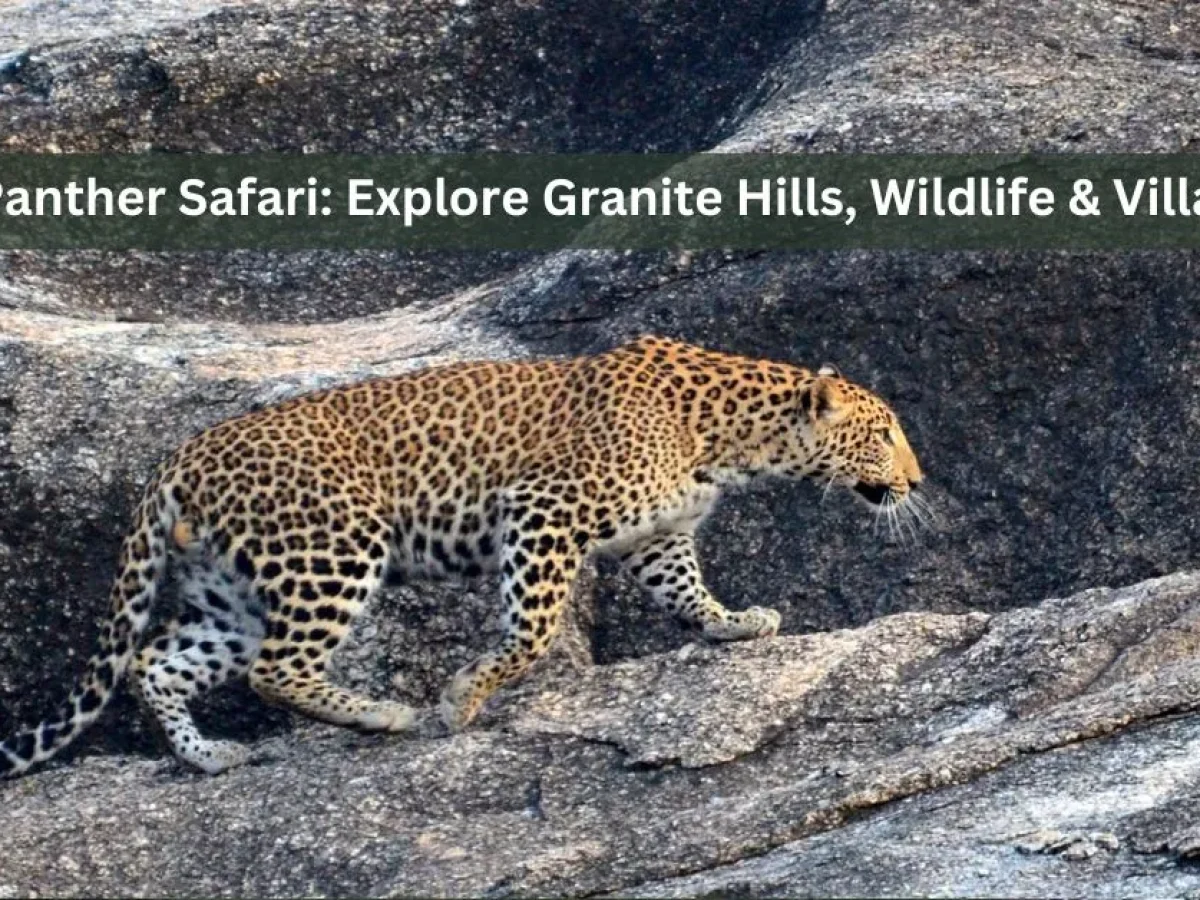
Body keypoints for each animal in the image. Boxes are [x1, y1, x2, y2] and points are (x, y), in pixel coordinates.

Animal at [0, 335, 924, 778]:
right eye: (883, 433)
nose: (918, 479)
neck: (733, 439)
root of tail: (178, 457)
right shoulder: (544, 512)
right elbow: (535, 632)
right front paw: (465, 695)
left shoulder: (659, 538)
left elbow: (688, 591)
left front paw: (736, 624)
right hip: (335, 548)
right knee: (275, 668)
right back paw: (384, 714)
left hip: (232, 594)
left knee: (157, 660)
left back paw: (210, 758)